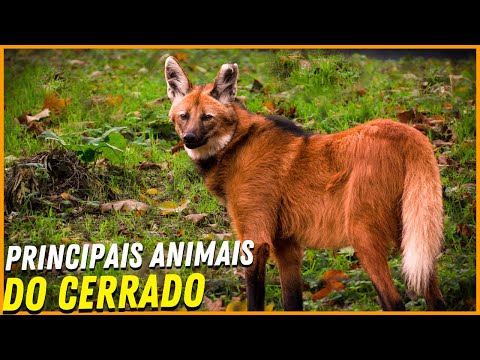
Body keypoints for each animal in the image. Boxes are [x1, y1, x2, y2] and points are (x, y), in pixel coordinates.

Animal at [164, 54, 446, 310]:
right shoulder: (286, 243)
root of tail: (407, 132)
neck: (236, 144)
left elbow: (256, 299)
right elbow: (292, 300)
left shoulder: (256, 239)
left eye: (207, 117)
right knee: (434, 296)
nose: (189, 138)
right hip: (412, 229)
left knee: (394, 302)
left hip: (363, 233)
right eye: (184, 116)